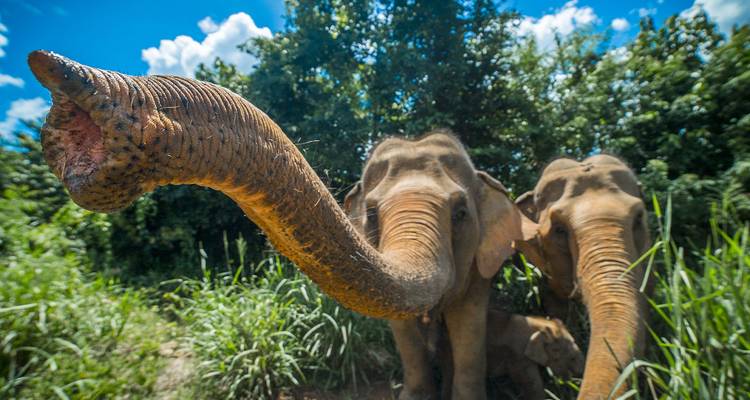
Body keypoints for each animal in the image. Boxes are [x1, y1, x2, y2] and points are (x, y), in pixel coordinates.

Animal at [27, 51, 535, 400]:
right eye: (371, 215)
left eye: (461, 213)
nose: (75, 117)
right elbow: (404, 333)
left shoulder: (481, 269)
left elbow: (468, 328)